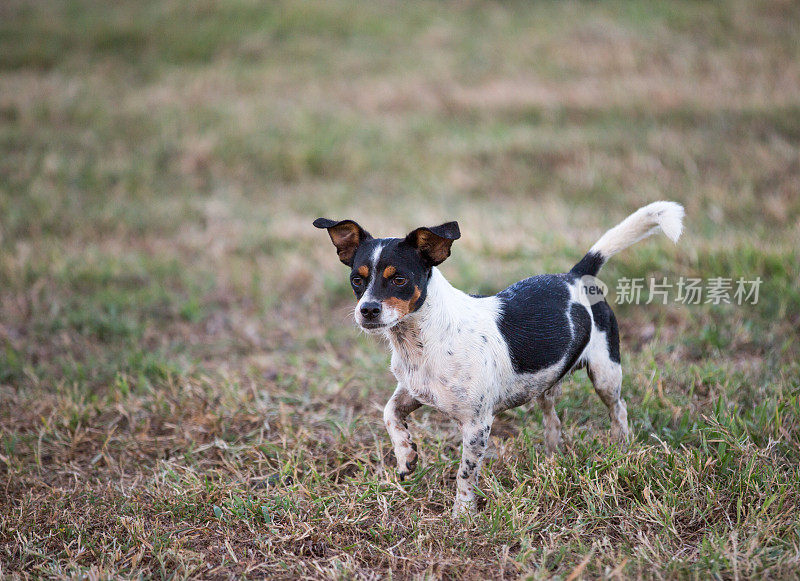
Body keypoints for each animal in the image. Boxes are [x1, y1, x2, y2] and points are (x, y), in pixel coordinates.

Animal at [312, 202, 680, 516]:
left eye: (399, 279)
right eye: (356, 280)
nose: (367, 310)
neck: (421, 339)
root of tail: (574, 277)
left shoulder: (477, 424)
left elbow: (465, 474)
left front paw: (462, 516)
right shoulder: (412, 391)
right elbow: (389, 414)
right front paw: (406, 456)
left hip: (605, 372)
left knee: (619, 409)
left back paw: (621, 448)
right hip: (544, 383)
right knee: (553, 421)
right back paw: (551, 460)